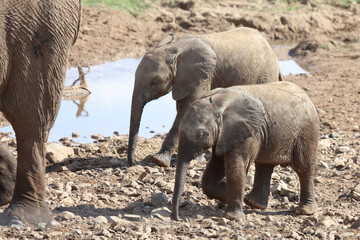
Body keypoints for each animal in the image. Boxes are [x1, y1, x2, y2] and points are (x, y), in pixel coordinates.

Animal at [128, 26, 282, 167]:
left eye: (154, 82)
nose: (132, 163)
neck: (174, 47)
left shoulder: (204, 75)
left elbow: (187, 108)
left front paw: (158, 160)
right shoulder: (185, 81)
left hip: (266, 73)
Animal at [171, 81, 318, 220]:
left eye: (200, 135)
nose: (177, 218)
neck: (218, 103)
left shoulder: (248, 132)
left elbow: (235, 168)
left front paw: (232, 217)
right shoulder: (227, 134)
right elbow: (215, 167)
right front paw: (225, 192)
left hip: (306, 131)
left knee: (303, 168)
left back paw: (305, 211)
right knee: (264, 165)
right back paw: (253, 203)